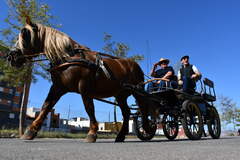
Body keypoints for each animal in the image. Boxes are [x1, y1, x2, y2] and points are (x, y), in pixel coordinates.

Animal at [7, 18, 147, 142]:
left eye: (24, 34)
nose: (11, 56)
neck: (68, 57)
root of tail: (134, 64)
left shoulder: (84, 86)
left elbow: (89, 108)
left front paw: (92, 133)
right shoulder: (58, 87)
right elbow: (45, 107)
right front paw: (30, 131)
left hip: (138, 91)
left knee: (143, 108)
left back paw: (146, 128)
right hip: (120, 95)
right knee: (127, 112)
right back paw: (121, 136)